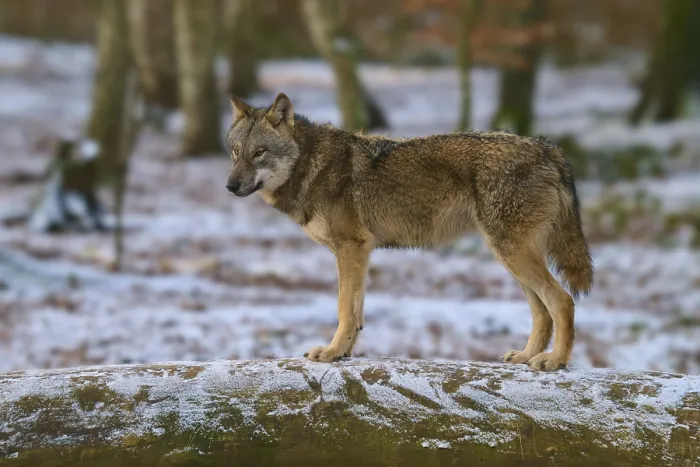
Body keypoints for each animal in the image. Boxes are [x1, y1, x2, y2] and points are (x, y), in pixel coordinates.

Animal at [225, 92, 593, 371]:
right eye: (235, 152)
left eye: (259, 152)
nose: (230, 186)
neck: (310, 165)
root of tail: (547, 148)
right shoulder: (359, 252)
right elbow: (356, 311)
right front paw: (344, 352)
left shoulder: (351, 246)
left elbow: (344, 308)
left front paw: (331, 352)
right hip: (508, 256)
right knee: (542, 311)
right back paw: (527, 355)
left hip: (513, 254)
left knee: (562, 301)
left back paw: (555, 360)